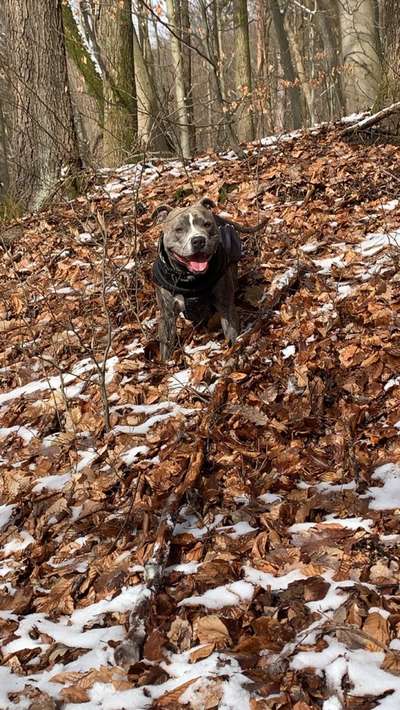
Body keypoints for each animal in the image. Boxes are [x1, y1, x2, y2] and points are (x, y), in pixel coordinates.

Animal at [152, 196, 241, 362]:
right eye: (179, 229)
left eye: (207, 224)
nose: (198, 240)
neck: (190, 279)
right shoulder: (167, 315)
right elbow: (166, 346)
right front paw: (166, 365)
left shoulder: (226, 306)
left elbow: (232, 335)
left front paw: (234, 355)